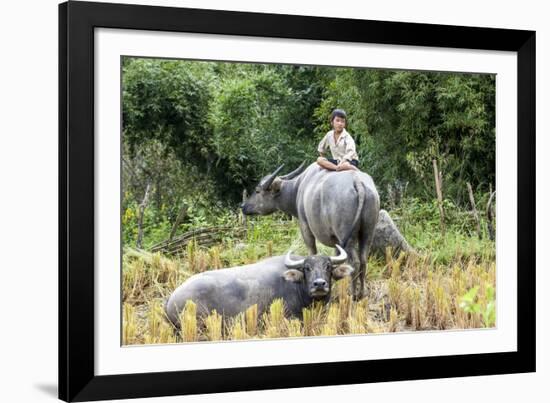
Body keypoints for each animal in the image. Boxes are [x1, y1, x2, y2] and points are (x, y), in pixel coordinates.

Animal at [244, 163, 382, 300]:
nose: (243, 206)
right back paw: (362, 293)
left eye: (257, 191)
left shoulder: (305, 226)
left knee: (355, 263)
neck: (298, 189)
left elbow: (312, 251)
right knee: (363, 261)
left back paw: (353, 295)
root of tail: (357, 182)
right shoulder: (336, 241)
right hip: (367, 233)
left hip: (347, 237)